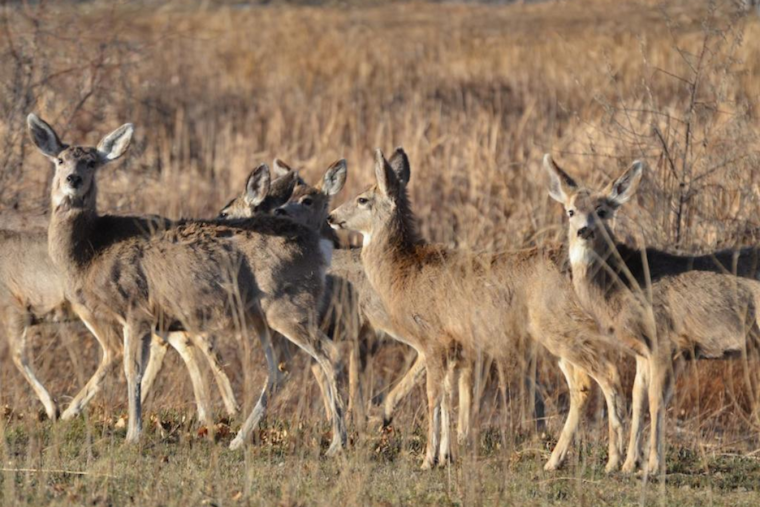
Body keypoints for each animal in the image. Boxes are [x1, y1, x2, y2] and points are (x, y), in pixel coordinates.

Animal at [0, 218, 240, 425]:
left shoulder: (13, 307)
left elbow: (17, 356)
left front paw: (52, 408)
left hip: (90, 309)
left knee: (116, 348)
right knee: (186, 343)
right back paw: (210, 413)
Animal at [27, 114, 346, 454]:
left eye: (90, 162)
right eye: (60, 160)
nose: (72, 179)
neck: (93, 248)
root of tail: (320, 246)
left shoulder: (136, 307)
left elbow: (132, 370)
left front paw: (132, 434)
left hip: (287, 304)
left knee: (328, 354)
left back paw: (337, 443)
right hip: (263, 314)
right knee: (280, 369)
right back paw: (238, 439)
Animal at [329, 148, 635, 471]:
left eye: (363, 199)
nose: (331, 216)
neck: (403, 272)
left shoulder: (434, 340)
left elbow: (433, 396)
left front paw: (427, 460)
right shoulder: (456, 346)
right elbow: (448, 398)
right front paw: (445, 455)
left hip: (563, 330)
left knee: (607, 375)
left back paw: (615, 461)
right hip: (563, 335)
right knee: (582, 385)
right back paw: (557, 460)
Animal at [544, 154, 760, 474]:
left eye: (602, 211)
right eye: (570, 211)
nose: (584, 230)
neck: (623, 282)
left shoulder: (664, 340)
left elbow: (657, 401)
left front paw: (653, 466)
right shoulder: (642, 350)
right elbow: (637, 398)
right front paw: (627, 465)